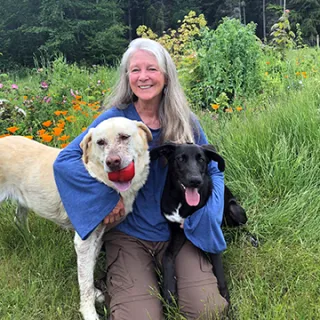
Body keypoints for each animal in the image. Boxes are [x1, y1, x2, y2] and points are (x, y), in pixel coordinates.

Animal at [0, 117, 152, 320]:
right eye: (100, 142)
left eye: (124, 137)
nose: (113, 162)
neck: (99, 178)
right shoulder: (83, 242)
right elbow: (85, 281)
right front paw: (89, 313)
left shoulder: (98, 236)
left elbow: (89, 270)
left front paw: (95, 293)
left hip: (24, 201)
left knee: (18, 220)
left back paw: (29, 239)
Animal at [150, 142, 248, 304]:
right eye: (180, 159)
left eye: (201, 159)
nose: (195, 180)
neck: (181, 201)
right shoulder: (177, 231)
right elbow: (167, 256)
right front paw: (169, 291)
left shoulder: (211, 234)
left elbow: (219, 274)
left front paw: (227, 303)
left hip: (235, 210)